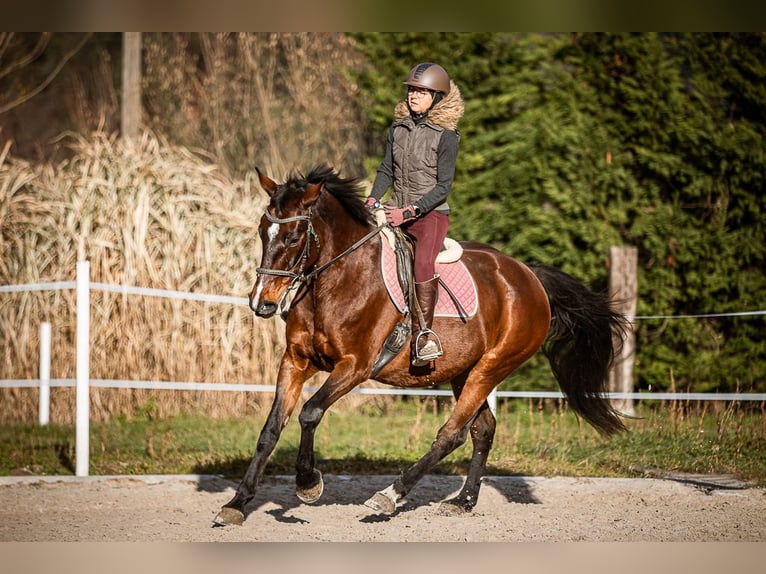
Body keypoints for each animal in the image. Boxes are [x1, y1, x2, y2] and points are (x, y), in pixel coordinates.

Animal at [212, 164, 632, 528]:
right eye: (262, 231)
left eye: (294, 237)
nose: (262, 303)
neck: (334, 281)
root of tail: (530, 276)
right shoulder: (296, 361)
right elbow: (270, 430)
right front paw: (237, 504)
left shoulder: (355, 366)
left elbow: (310, 413)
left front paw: (307, 483)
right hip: (464, 371)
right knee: (482, 429)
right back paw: (463, 501)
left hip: (492, 366)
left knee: (453, 433)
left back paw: (391, 494)